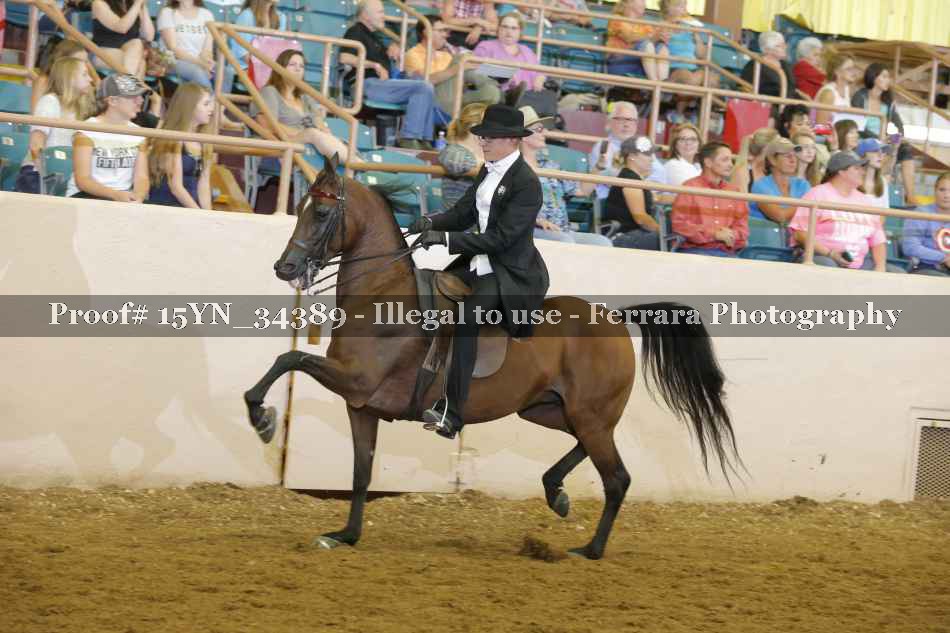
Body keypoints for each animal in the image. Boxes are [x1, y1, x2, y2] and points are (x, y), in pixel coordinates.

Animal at [244, 155, 739, 560]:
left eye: (322, 212)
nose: (285, 268)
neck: (382, 294)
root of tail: (615, 318)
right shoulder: (361, 405)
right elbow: (361, 472)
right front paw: (345, 535)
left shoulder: (355, 381)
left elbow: (290, 360)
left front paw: (262, 419)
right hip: (552, 411)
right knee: (587, 451)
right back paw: (556, 492)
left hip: (588, 415)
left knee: (617, 478)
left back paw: (589, 549)